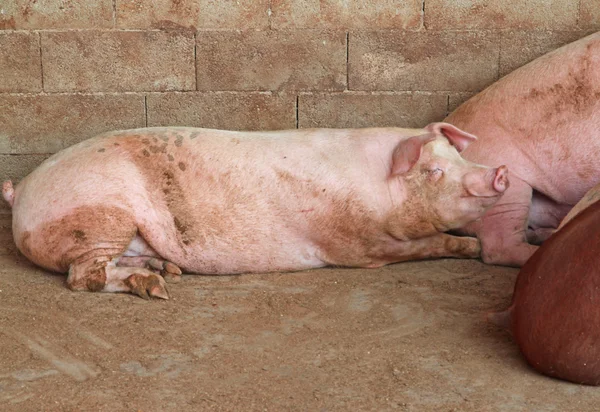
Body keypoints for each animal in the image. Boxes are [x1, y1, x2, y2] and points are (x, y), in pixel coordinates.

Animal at [4, 122, 508, 300]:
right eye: (435, 171)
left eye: (458, 155)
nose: (498, 172)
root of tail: (21, 187)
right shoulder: (357, 245)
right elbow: (420, 245)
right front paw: (472, 247)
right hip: (97, 216)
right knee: (83, 276)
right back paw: (156, 289)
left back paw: (167, 271)